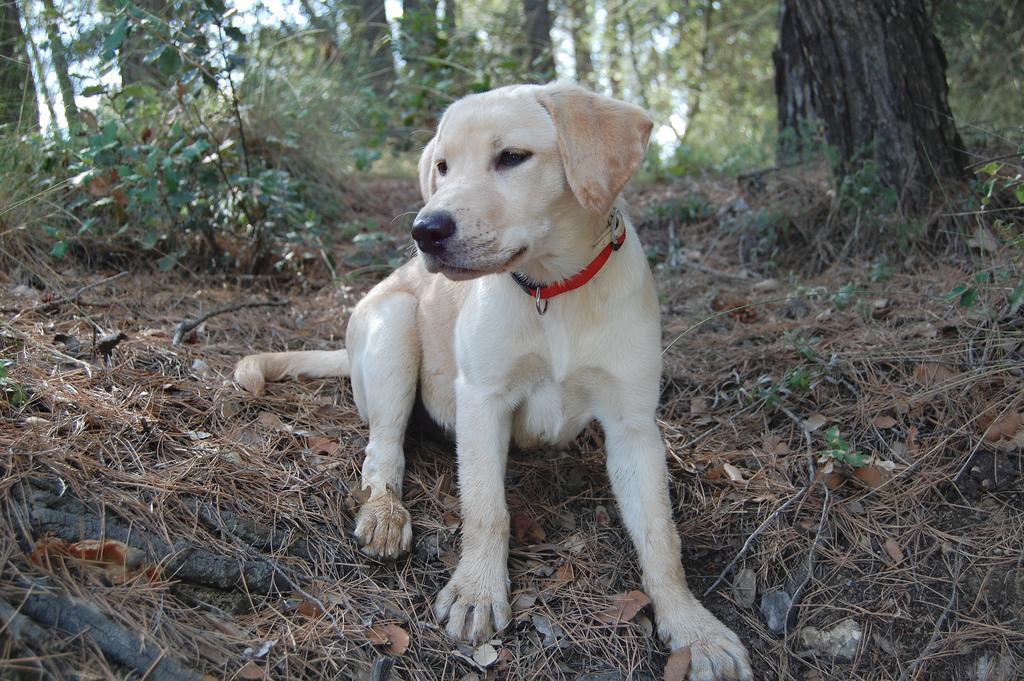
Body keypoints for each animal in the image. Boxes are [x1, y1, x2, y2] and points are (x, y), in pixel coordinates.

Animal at [237, 82, 753, 675]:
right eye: (441, 167)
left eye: (511, 157)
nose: (425, 231)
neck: (553, 289)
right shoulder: (482, 399)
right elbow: (486, 508)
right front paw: (478, 592)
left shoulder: (634, 424)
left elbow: (660, 537)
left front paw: (694, 629)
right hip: (394, 325)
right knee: (382, 450)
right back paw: (385, 511)